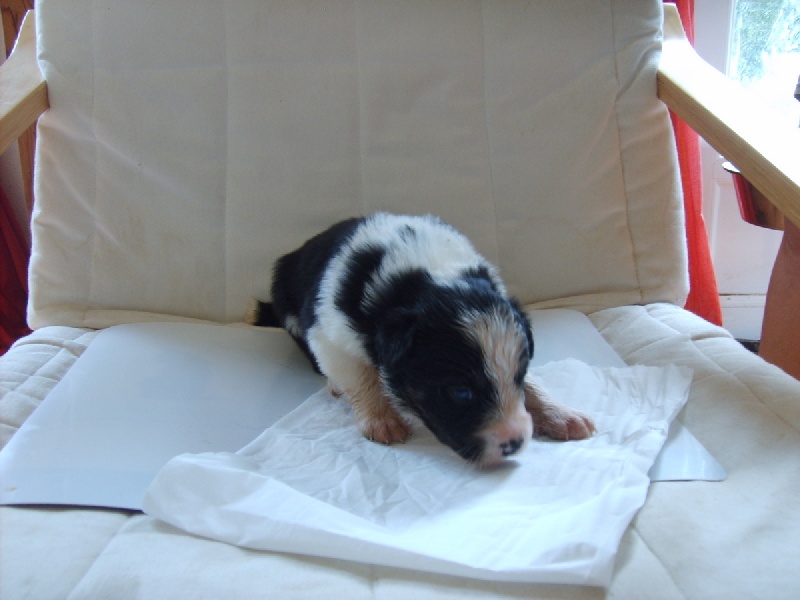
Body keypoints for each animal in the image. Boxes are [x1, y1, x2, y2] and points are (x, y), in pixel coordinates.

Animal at [250, 213, 595, 466]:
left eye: (518, 376)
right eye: (460, 392)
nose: (515, 442)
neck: (423, 277)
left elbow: (534, 385)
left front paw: (562, 414)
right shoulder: (327, 333)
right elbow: (359, 376)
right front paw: (381, 420)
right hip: (288, 308)